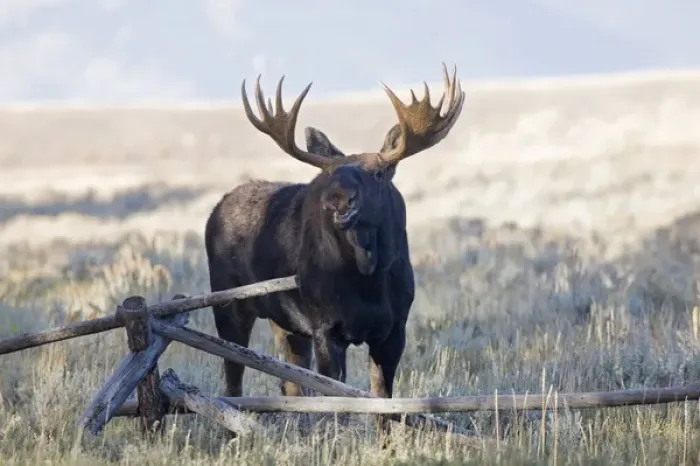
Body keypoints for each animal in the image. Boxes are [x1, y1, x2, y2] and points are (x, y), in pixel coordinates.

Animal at [205, 64, 465, 421]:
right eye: (329, 173)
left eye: (379, 172)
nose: (339, 199)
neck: (368, 280)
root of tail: (215, 210)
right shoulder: (325, 326)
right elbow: (335, 397)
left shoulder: (395, 328)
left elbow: (383, 401)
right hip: (227, 304)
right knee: (234, 378)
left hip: (284, 323)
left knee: (290, 382)